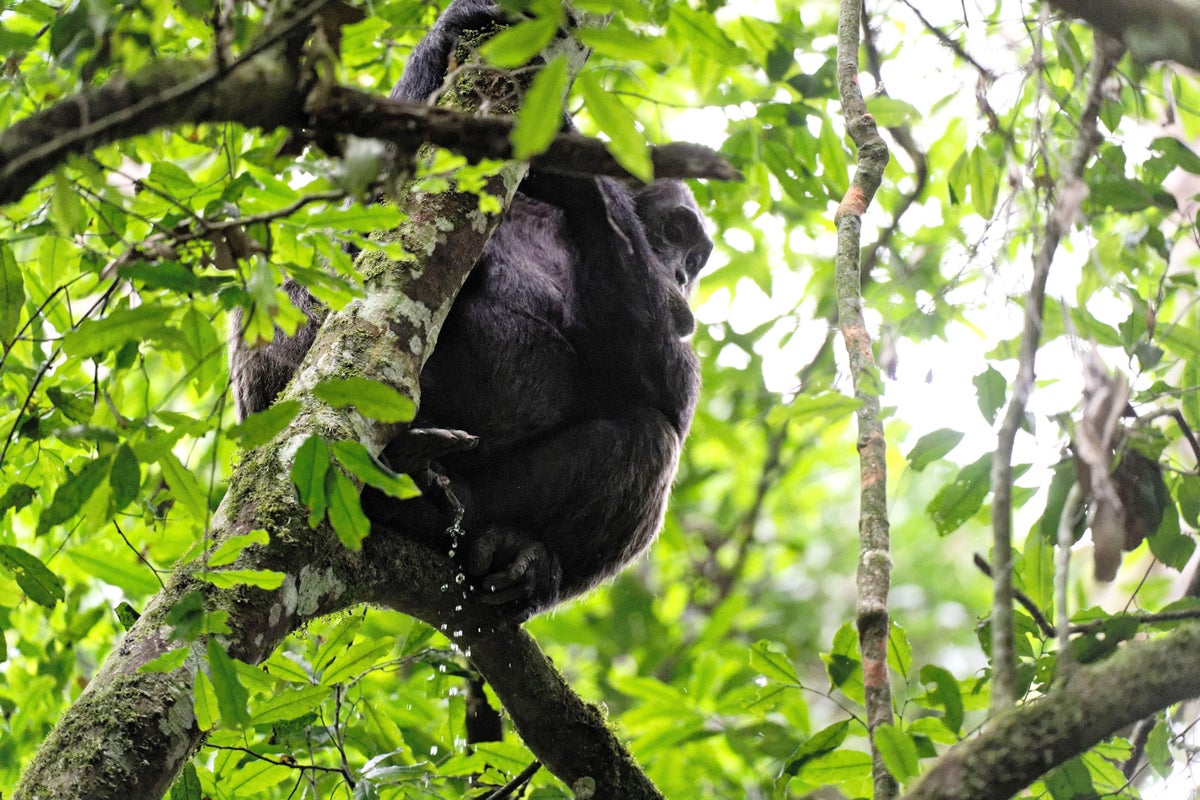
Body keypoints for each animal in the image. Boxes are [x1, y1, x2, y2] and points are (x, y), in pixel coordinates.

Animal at [229, 0, 705, 618]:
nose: (683, 274)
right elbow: (351, 218)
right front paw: (452, 31)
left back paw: (512, 549)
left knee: (650, 438)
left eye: (697, 257)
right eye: (675, 233)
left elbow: (669, 388)